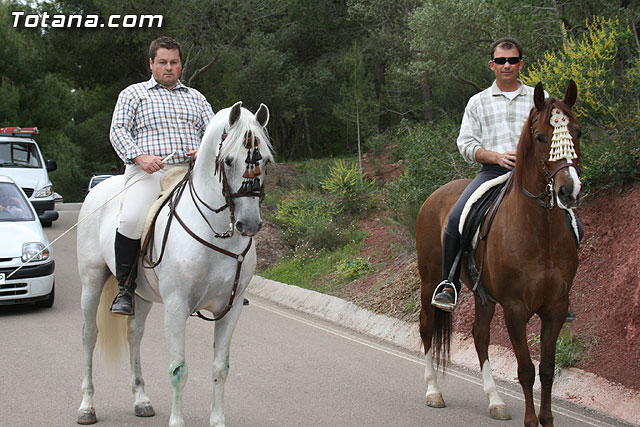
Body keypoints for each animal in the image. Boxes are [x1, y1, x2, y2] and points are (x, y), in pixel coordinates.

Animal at [77, 102, 272, 426]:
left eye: (266, 160)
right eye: (229, 160)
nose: (249, 224)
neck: (216, 231)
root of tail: (100, 188)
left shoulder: (230, 309)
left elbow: (220, 368)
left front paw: (217, 420)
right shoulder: (177, 306)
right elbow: (179, 369)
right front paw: (177, 421)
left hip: (140, 294)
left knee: (134, 335)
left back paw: (141, 400)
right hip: (92, 281)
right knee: (89, 335)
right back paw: (86, 406)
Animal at [418, 81, 584, 427]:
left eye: (577, 131)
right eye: (540, 137)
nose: (569, 191)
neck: (539, 230)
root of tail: (434, 196)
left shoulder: (555, 309)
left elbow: (547, 371)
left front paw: (547, 420)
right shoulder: (515, 309)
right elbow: (526, 370)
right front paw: (531, 421)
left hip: (484, 296)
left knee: (480, 336)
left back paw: (495, 401)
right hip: (429, 282)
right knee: (427, 327)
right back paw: (434, 393)